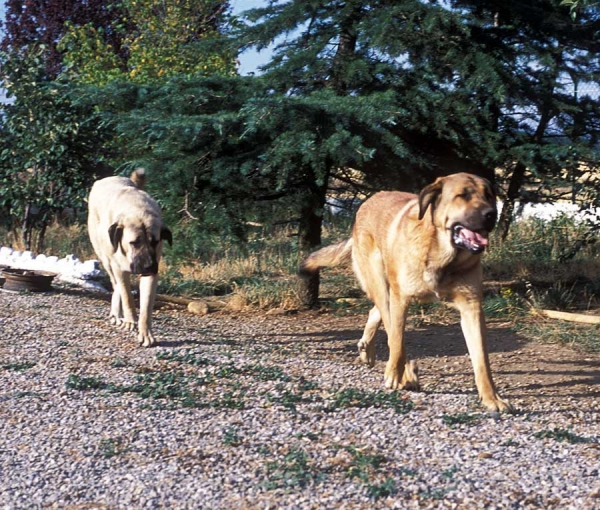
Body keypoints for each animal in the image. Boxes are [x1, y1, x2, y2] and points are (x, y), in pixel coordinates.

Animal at [86, 169, 172, 348]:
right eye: (134, 242)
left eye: (155, 242)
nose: (148, 266)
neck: (137, 209)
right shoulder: (119, 268)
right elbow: (127, 297)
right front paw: (130, 320)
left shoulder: (151, 275)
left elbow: (146, 306)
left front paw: (145, 333)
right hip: (106, 258)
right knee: (116, 284)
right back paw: (119, 314)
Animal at [302, 173, 512, 412]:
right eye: (462, 195)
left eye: (488, 195)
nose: (491, 214)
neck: (442, 254)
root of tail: (368, 202)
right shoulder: (401, 299)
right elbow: (397, 340)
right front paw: (397, 375)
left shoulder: (471, 308)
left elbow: (482, 360)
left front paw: (491, 398)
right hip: (382, 285)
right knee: (388, 325)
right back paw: (402, 373)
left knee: (375, 313)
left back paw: (368, 350)